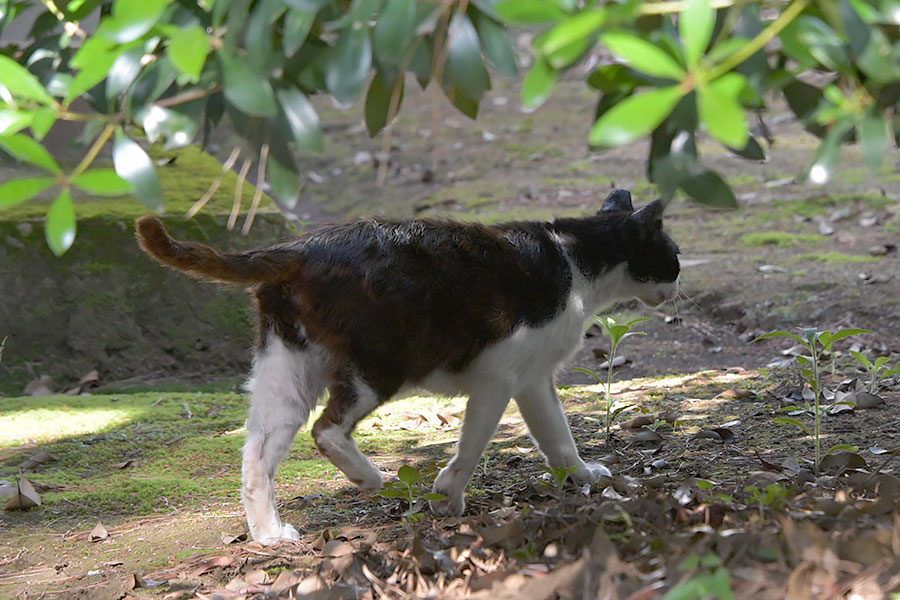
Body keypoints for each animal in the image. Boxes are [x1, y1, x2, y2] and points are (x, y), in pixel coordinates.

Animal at [137, 190, 680, 548]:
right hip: (380, 363)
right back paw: (368, 478)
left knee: (257, 454)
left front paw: (582, 476)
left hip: (288, 368)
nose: (678, 287)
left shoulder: (531, 380)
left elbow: (558, 437)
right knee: (326, 428)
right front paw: (448, 497)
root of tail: (300, 247)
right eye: (673, 256)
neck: (574, 260)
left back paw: (269, 533)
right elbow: (472, 445)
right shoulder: (498, 378)